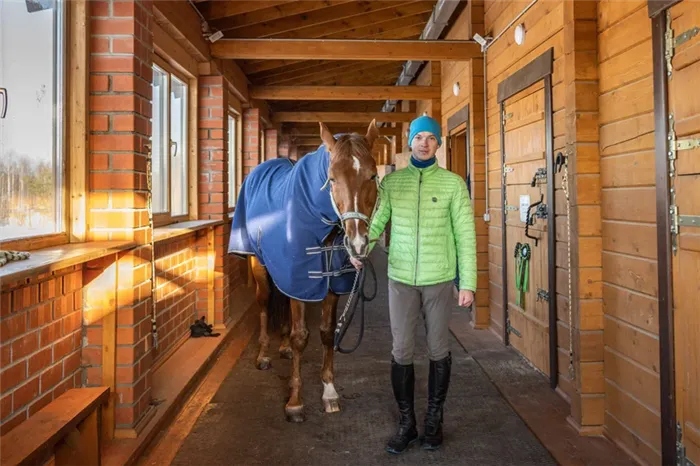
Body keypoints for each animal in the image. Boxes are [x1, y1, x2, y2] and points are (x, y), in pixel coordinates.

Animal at [232, 119, 378, 422]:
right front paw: (295, 401)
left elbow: (326, 333)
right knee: (264, 304)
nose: (358, 242)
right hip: (261, 269)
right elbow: (301, 336)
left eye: (372, 176)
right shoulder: (301, 279)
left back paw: (284, 346)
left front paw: (329, 392)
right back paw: (264, 355)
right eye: (331, 179)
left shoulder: (330, 285)